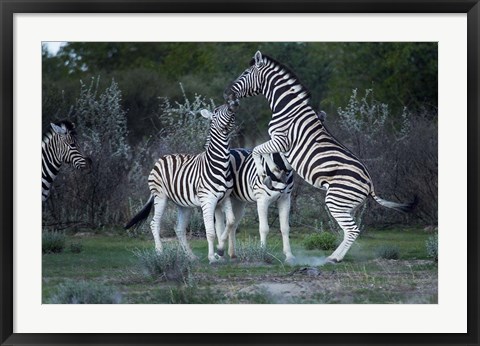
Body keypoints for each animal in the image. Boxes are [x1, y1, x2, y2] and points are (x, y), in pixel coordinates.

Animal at [124, 101, 239, 264]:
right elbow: (210, 232)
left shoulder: (225, 198)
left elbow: (229, 223)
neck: (220, 164)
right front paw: (212, 257)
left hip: (184, 204)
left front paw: (220, 250)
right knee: (154, 223)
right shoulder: (208, 200)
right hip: (160, 196)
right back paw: (160, 253)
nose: (233, 103)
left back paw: (190, 256)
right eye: (216, 111)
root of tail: (162, 157)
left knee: (179, 229)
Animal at [223, 50, 414, 262]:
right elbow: (261, 151)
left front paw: (268, 172)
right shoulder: (280, 145)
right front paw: (271, 172)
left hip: (336, 201)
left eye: (245, 73)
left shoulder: (281, 140)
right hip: (346, 204)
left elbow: (257, 149)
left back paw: (334, 258)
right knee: (350, 230)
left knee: (352, 230)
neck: (287, 108)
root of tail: (370, 183)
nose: (228, 94)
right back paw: (334, 256)